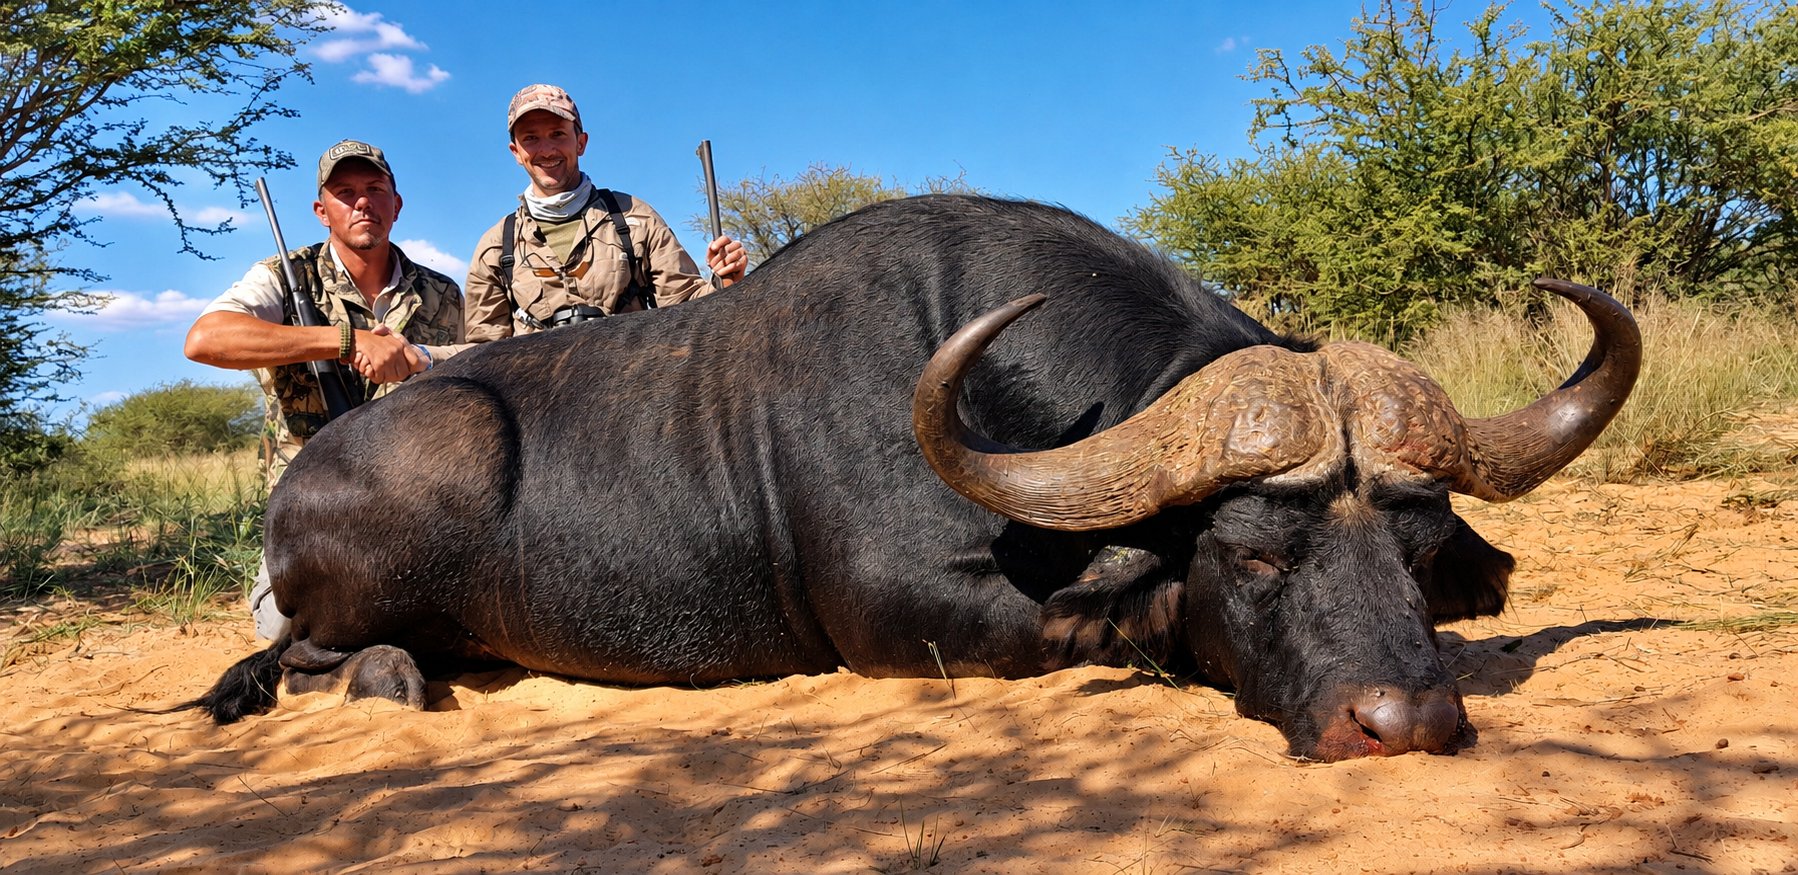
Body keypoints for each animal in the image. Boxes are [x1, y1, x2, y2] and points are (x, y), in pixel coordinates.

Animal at [186, 195, 1640, 761]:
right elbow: (1120, 619)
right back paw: (388, 676)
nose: (1405, 720)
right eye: (1253, 552)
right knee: (314, 652)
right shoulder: (907, 620)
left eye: (1410, 553)